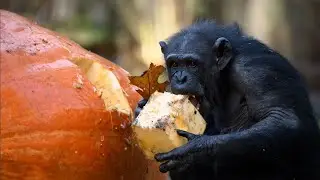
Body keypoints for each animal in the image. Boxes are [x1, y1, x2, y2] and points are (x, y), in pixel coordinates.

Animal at [134, 20, 320, 179]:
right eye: (174, 64)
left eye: (192, 64)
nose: (180, 78)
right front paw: (141, 108)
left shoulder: (257, 70)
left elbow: (281, 117)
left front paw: (194, 151)